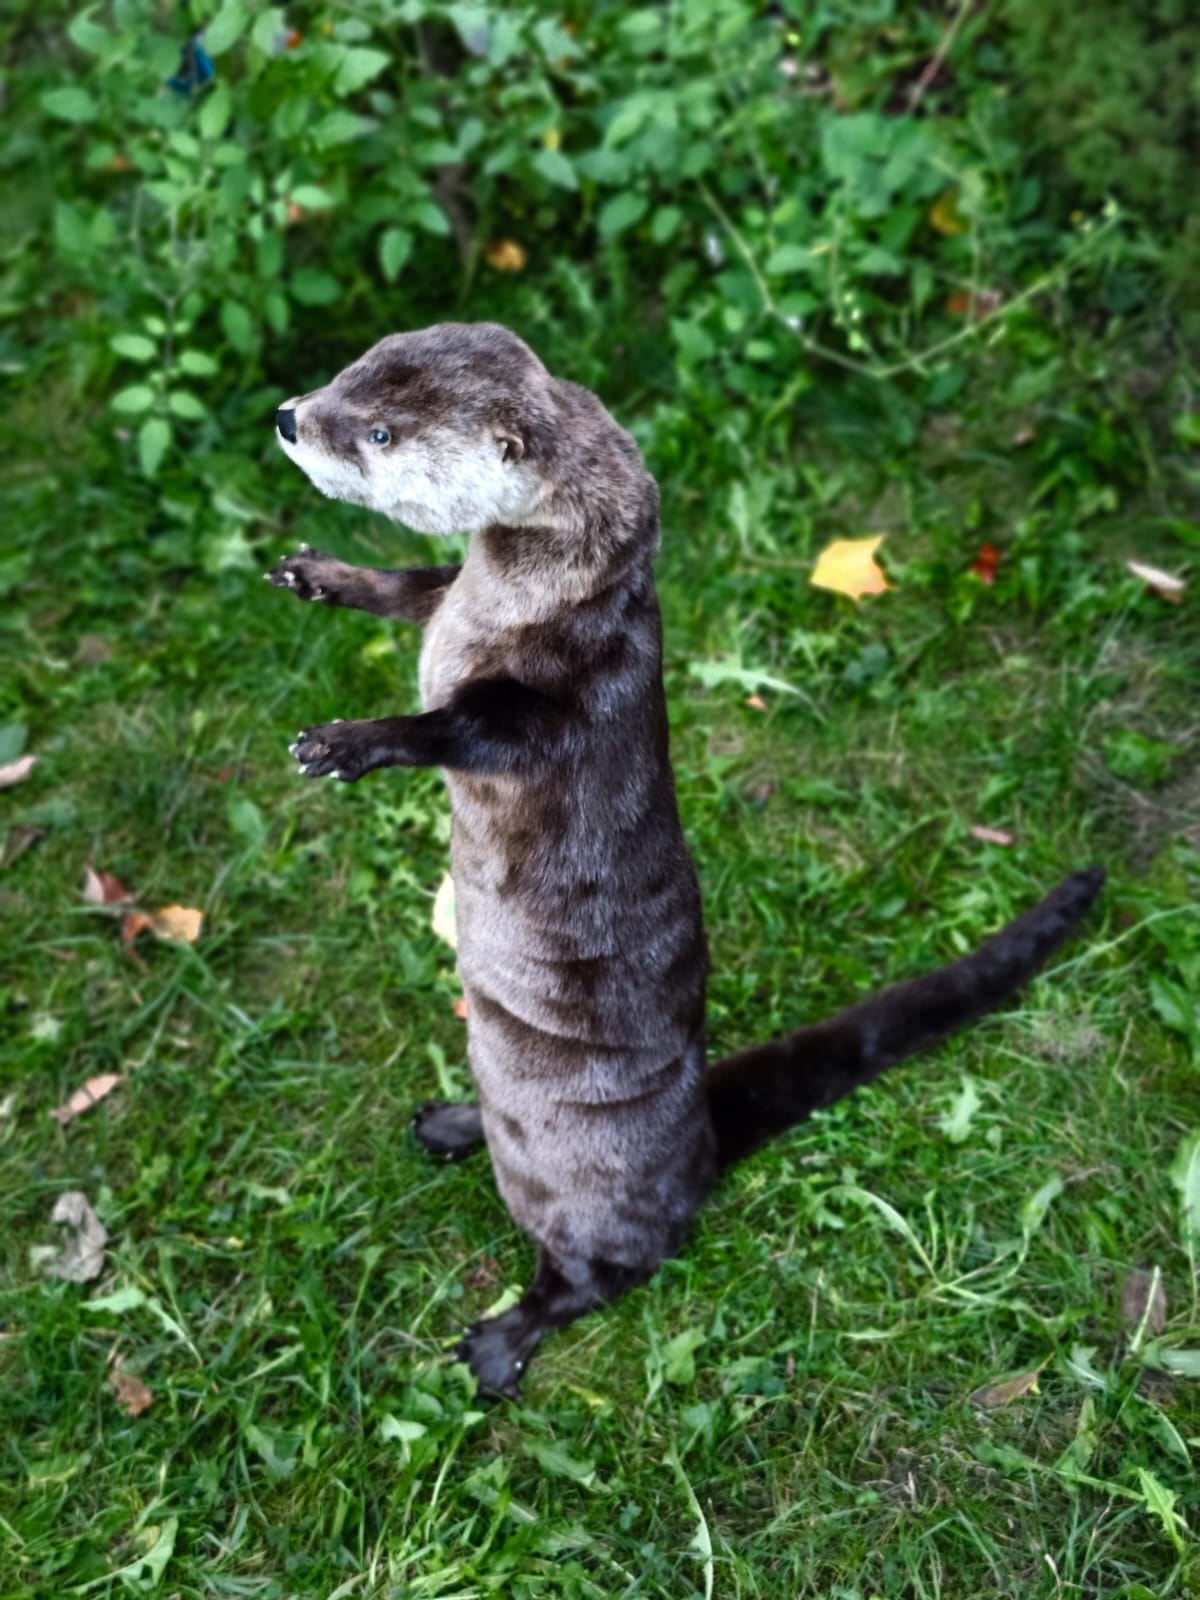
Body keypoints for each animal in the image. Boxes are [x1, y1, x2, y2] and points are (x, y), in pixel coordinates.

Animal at [267, 322, 1103, 1398]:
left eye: (377, 431)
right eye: (356, 368)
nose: (290, 418)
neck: (528, 597)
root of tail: (701, 1138)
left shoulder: (563, 697)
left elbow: (457, 728)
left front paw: (349, 742)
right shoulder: (460, 596)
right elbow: (416, 590)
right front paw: (322, 573)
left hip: (597, 1194)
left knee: (604, 1272)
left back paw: (502, 1340)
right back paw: (453, 1122)